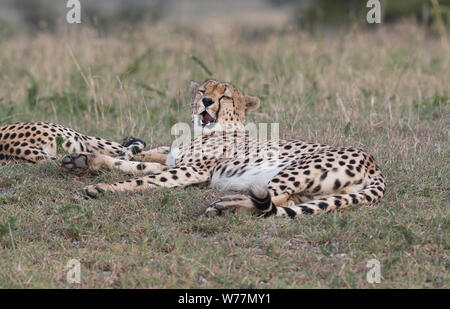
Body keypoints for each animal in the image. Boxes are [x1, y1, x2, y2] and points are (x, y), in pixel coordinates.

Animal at [59, 79, 384, 219]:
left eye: (224, 96)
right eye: (204, 91)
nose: (206, 102)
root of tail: (372, 161)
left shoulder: (191, 171)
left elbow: (141, 178)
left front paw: (100, 188)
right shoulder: (173, 163)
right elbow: (134, 162)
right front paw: (84, 160)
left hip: (291, 169)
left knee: (272, 200)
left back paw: (225, 205)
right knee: (287, 200)